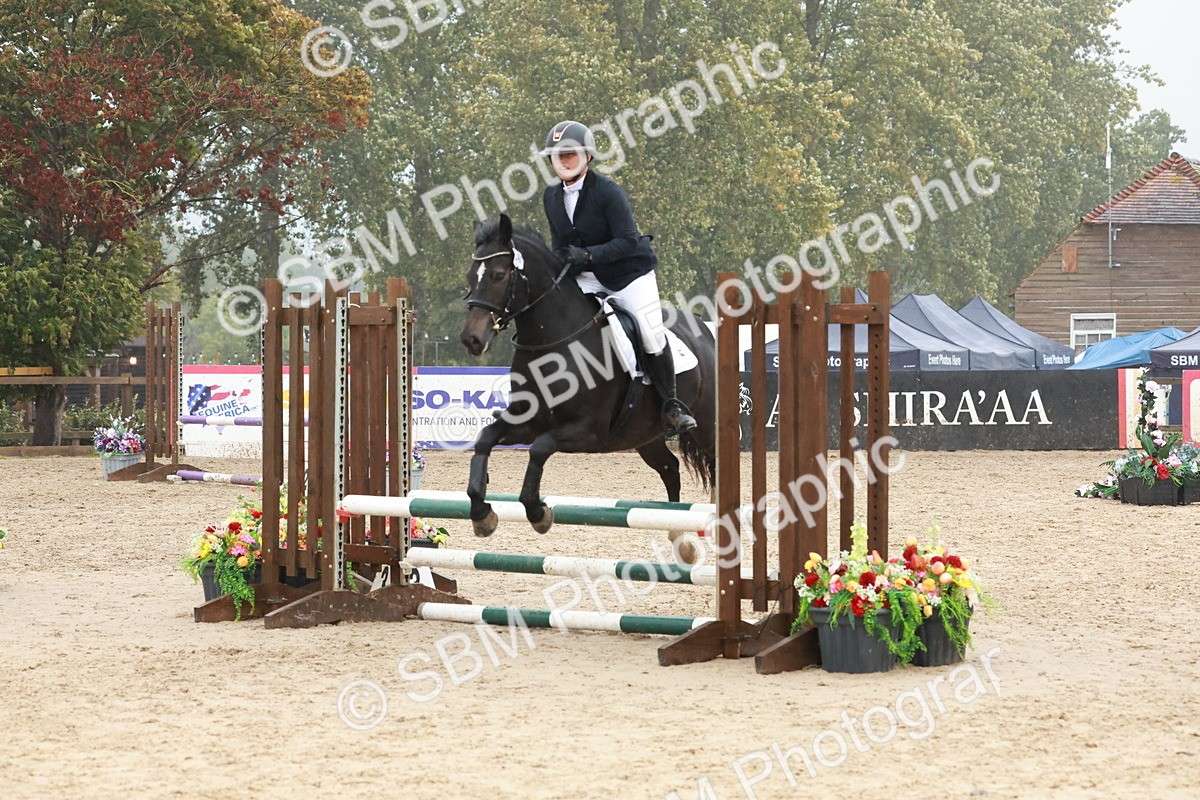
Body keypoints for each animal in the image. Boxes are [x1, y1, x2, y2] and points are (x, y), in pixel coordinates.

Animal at [459, 213, 716, 551]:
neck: (554, 341)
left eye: (499, 275)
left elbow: (540, 449)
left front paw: (538, 512)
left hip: (708, 428)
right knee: (670, 469)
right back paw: (676, 533)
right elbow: (485, 438)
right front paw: (482, 513)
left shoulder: (588, 432)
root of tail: (704, 328)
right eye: (469, 276)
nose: (471, 340)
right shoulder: (528, 422)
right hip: (646, 437)